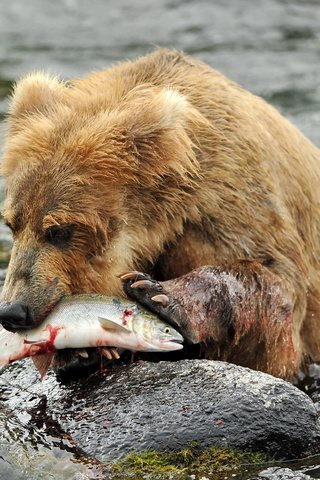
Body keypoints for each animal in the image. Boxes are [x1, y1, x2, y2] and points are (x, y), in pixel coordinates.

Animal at [0, 48, 318, 378]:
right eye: (12, 223)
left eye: (60, 229)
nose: (13, 310)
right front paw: (82, 350)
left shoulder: (231, 202)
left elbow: (275, 292)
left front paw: (158, 294)